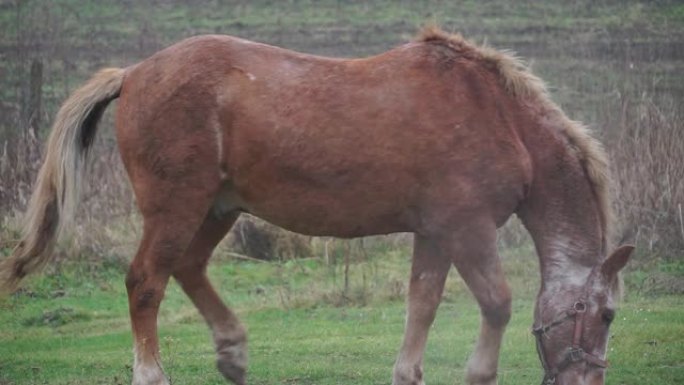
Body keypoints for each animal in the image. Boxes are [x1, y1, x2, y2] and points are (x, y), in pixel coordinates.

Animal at [0, 26, 632, 384]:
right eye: (605, 315)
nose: (589, 383)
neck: (500, 118)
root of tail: (133, 74)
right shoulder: (467, 230)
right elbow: (497, 303)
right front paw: (479, 373)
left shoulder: (434, 233)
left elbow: (422, 304)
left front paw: (408, 373)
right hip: (177, 208)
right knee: (146, 282)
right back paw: (153, 374)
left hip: (217, 210)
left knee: (188, 269)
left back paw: (233, 353)